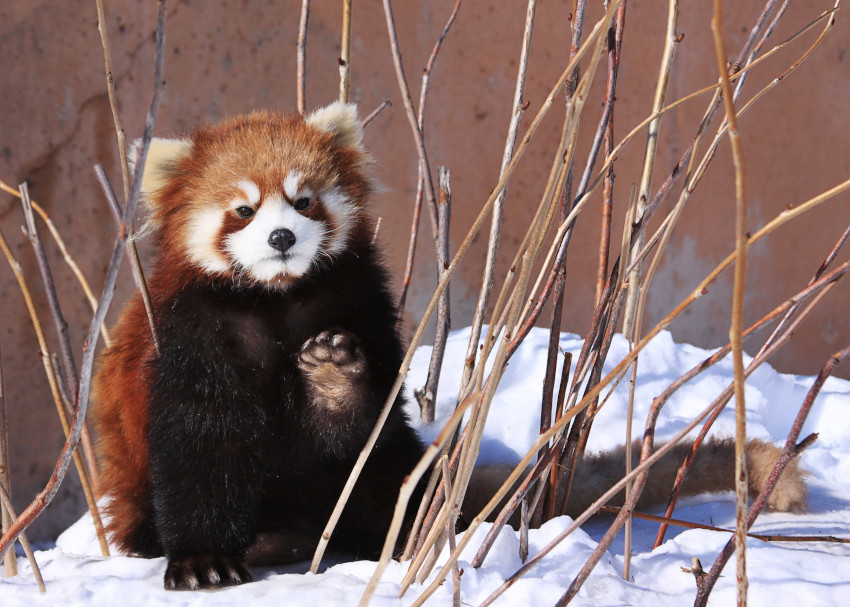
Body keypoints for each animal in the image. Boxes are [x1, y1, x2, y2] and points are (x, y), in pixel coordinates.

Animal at [93, 103, 808, 592]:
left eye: (304, 200)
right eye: (243, 210)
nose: (281, 238)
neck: (279, 302)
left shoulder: (360, 305)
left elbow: (355, 426)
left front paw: (332, 375)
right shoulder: (193, 338)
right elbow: (200, 448)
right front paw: (202, 561)